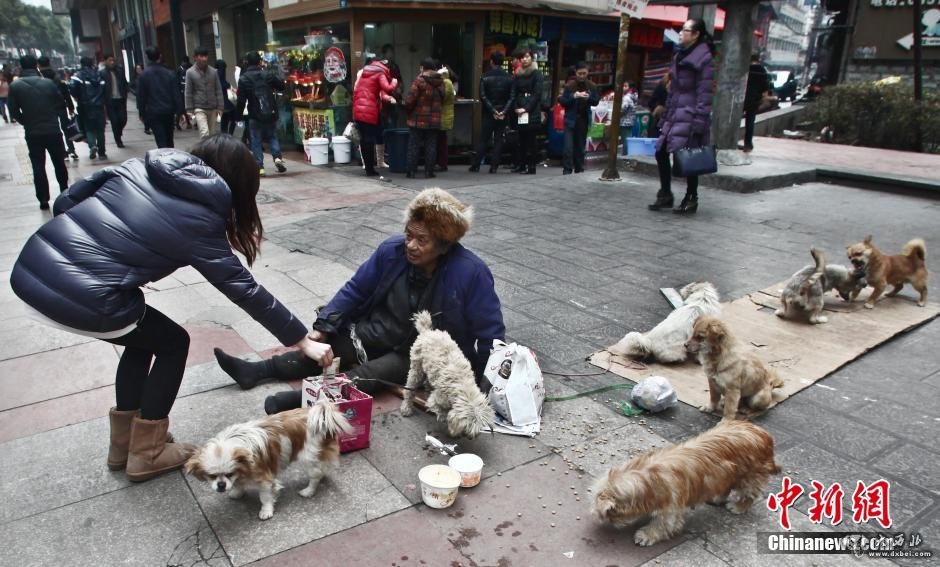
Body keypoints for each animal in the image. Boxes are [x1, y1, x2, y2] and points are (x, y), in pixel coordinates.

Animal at [185, 402, 352, 520]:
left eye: (229, 473)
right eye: (212, 476)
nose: (221, 485)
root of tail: (322, 418)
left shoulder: (264, 478)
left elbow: (265, 497)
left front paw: (266, 511)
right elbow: (239, 484)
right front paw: (237, 491)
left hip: (308, 458)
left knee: (315, 475)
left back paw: (308, 491)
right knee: (321, 469)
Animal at [400, 310, 496, 440]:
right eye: (467, 427)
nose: (470, 437)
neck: (463, 386)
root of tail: (427, 331)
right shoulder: (438, 399)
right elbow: (441, 411)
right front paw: (449, 424)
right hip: (416, 368)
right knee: (409, 389)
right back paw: (406, 407)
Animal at [592, 422, 784, 544]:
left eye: (611, 513)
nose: (610, 523)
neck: (648, 478)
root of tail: (764, 435)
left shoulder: (671, 507)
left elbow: (663, 524)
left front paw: (646, 535)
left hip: (750, 477)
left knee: (749, 494)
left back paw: (738, 507)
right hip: (727, 473)